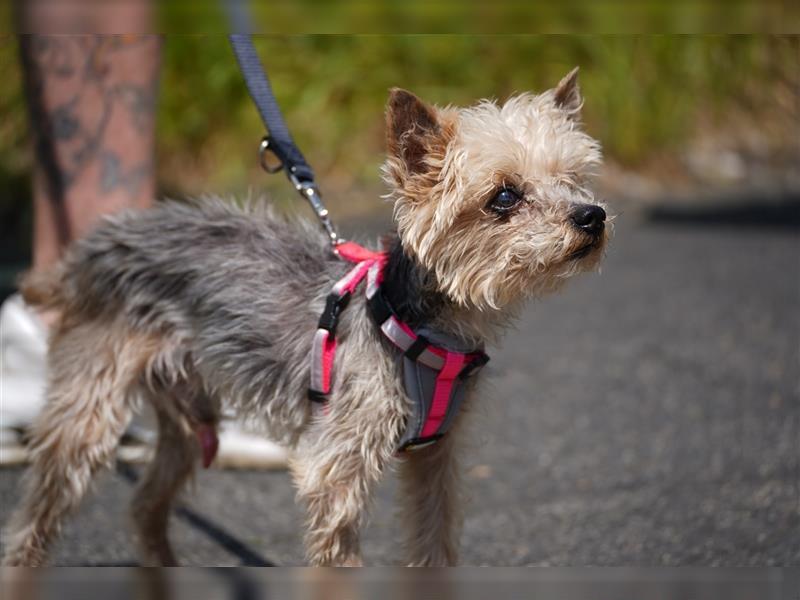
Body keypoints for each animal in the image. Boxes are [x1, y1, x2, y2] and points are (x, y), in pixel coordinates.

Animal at [3, 68, 608, 564]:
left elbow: (434, 544)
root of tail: (93, 247)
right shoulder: (336, 471)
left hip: (187, 416)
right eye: (504, 197)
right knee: (37, 516)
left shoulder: (438, 461)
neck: (418, 322)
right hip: (90, 411)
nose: (592, 216)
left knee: (148, 502)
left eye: (575, 179)